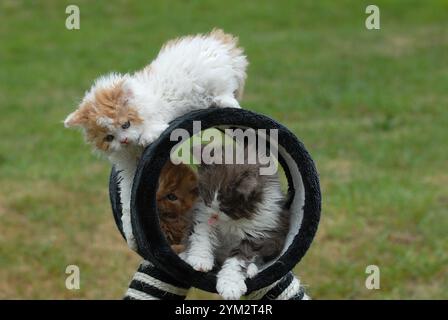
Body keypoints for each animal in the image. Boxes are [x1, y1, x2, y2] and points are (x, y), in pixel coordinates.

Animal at [63, 29, 248, 250]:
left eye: (125, 125)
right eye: (109, 137)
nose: (124, 141)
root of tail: (218, 38)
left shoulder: (159, 116)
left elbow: (152, 128)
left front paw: (147, 137)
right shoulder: (129, 170)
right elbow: (127, 202)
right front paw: (132, 237)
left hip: (212, 77)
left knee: (224, 88)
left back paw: (227, 102)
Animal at [181, 160, 290, 300]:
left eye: (226, 207)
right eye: (207, 197)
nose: (214, 215)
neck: (232, 221)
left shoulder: (259, 228)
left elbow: (240, 258)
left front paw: (230, 285)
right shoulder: (203, 212)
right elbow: (202, 233)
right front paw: (200, 259)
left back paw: (251, 270)